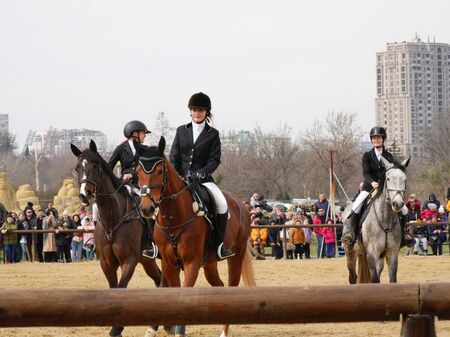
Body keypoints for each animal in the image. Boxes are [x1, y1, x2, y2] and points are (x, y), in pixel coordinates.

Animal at [71, 140, 170, 336]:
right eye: (78, 167)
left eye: (95, 166)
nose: (85, 195)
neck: (113, 218)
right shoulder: (106, 262)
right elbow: (113, 288)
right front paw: (115, 326)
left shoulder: (129, 260)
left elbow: (121, 287)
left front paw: (117, 328)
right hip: (147, 261)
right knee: (159, 280)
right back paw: (159, 326)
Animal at [134, 136, 256, 336]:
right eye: (138, 171)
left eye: (159, 171)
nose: (146, 208)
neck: (173, 218)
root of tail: (241, 204)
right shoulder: (169, 264)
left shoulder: (192, 263)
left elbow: (184, 293)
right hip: (210, 264)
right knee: (220, 287)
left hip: (235, 257)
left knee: (232, 285)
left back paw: (225, 331)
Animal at [344, 156, 412, 284]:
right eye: (388, 178)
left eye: (404, 179)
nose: (398, 204)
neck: (385, 219)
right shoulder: (372, 254)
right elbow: (375, 280)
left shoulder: (392, 254)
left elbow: (392, 279)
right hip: (351, 251)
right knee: (352, 276)